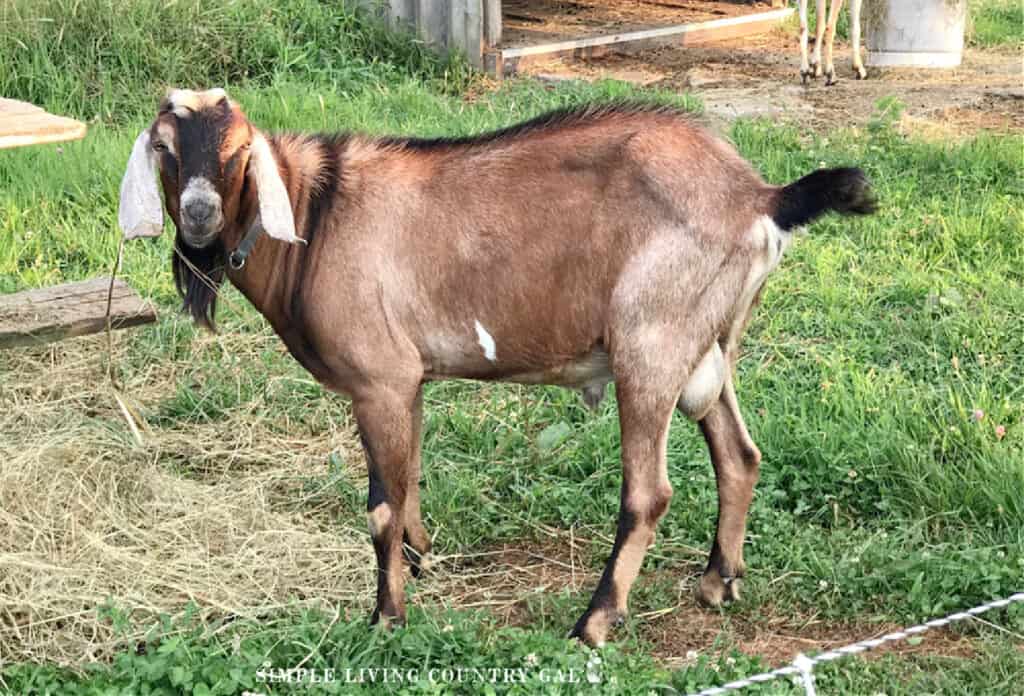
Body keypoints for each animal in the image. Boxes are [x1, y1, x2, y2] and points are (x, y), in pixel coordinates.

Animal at [117, 88, 872, 646]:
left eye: (239, 150)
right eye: (164, 147)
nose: (200, 216)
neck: (315, 216)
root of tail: (759, 195)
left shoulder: (378, 380)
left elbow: (381, 506)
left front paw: (386, 618)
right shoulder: (407, 381)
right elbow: (409, 482)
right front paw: (420, 563)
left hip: (651, 343)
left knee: (649, 493)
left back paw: (594, 623)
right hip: (708, 343)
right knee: (739, 454)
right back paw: (719, 581)